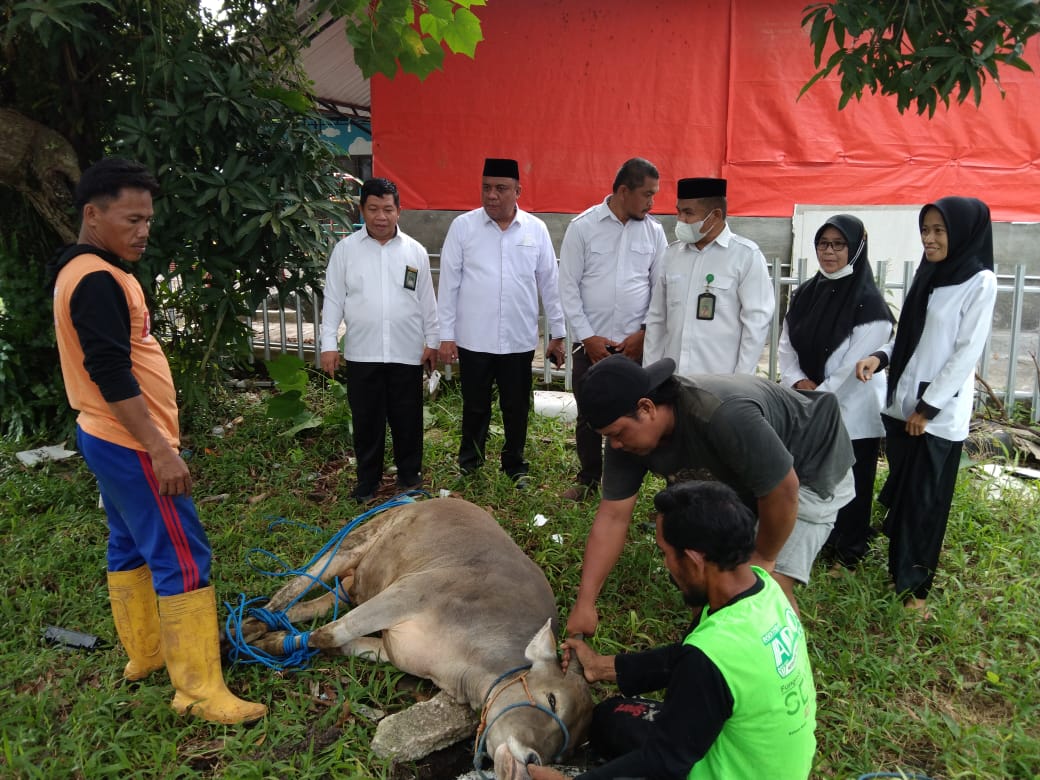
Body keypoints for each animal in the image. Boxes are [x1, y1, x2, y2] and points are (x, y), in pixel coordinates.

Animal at [237, 497, 594, 777]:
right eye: (552, 699)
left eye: (564, 753)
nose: (533, 762)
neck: (471, 664)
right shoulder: (407, 595)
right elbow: (329, 634)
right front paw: (269, 646)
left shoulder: (392, 648)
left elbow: (336, 641)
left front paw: (276, 643)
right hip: (356, 541)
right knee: (294, 587)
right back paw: (243, 631)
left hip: (356, 583)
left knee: (311, 604)